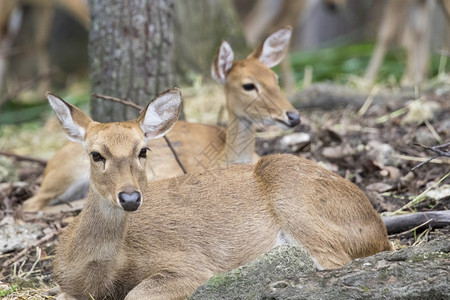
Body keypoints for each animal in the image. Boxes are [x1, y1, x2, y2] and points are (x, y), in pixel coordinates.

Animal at [22, 26, 300, 211]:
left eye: (275, 79)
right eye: (248, 85)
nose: (294, 116)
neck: (224, 155)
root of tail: (49, 163)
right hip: (64, 175)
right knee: (31, 204)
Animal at [49, 89, 392, 300]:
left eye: (143, 150)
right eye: (96, 154)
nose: (131, 198)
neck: (99, 272)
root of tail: (379, 227)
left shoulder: (190, 265)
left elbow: (137, 294)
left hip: (294, 197)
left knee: (334, 260)